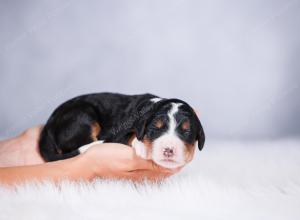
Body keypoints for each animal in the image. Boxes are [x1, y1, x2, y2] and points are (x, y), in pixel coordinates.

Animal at [38, 93, 205, 168]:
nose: (169, 150)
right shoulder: (118, 133)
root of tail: (48, 125)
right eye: (154, 129)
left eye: (186, 131)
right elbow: (129, 137)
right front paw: (142, 147)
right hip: (82, 118)